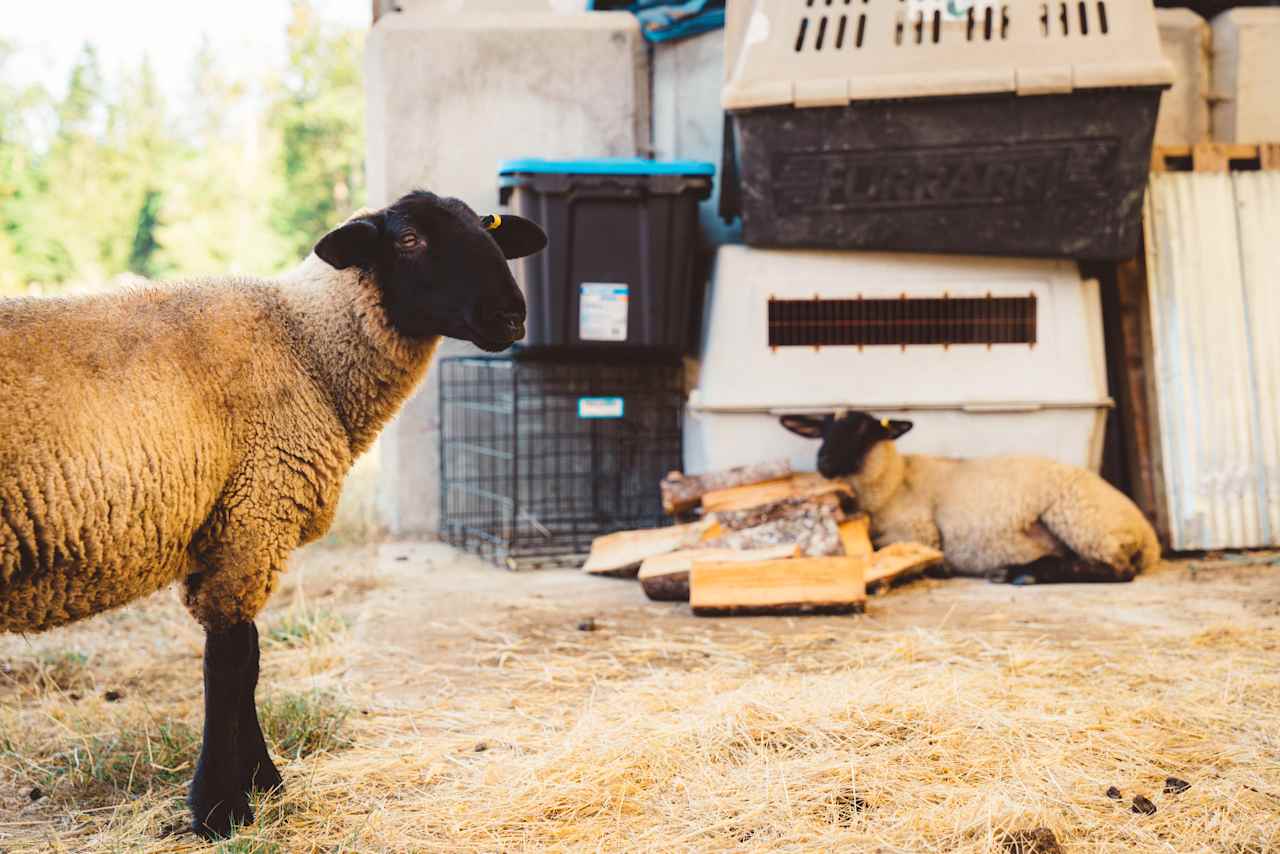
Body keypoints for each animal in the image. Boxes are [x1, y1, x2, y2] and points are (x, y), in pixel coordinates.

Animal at [0, 190, 545, 839]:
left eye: (487, 227)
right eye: (409, 239)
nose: (510, 316)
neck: (304, 343)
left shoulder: (226, 527)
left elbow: (251, 658)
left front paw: (263, 780)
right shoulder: (254, 513)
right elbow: (231, 661)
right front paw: (221, 808)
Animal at [778, 409, 1162, 583]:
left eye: (862, 429)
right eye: (823, 429)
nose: (823, 461)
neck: (895, 481)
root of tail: (1149, 537)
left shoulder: (918, 532)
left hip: (1084, 521)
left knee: (1119, 570)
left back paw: (1022, 573)